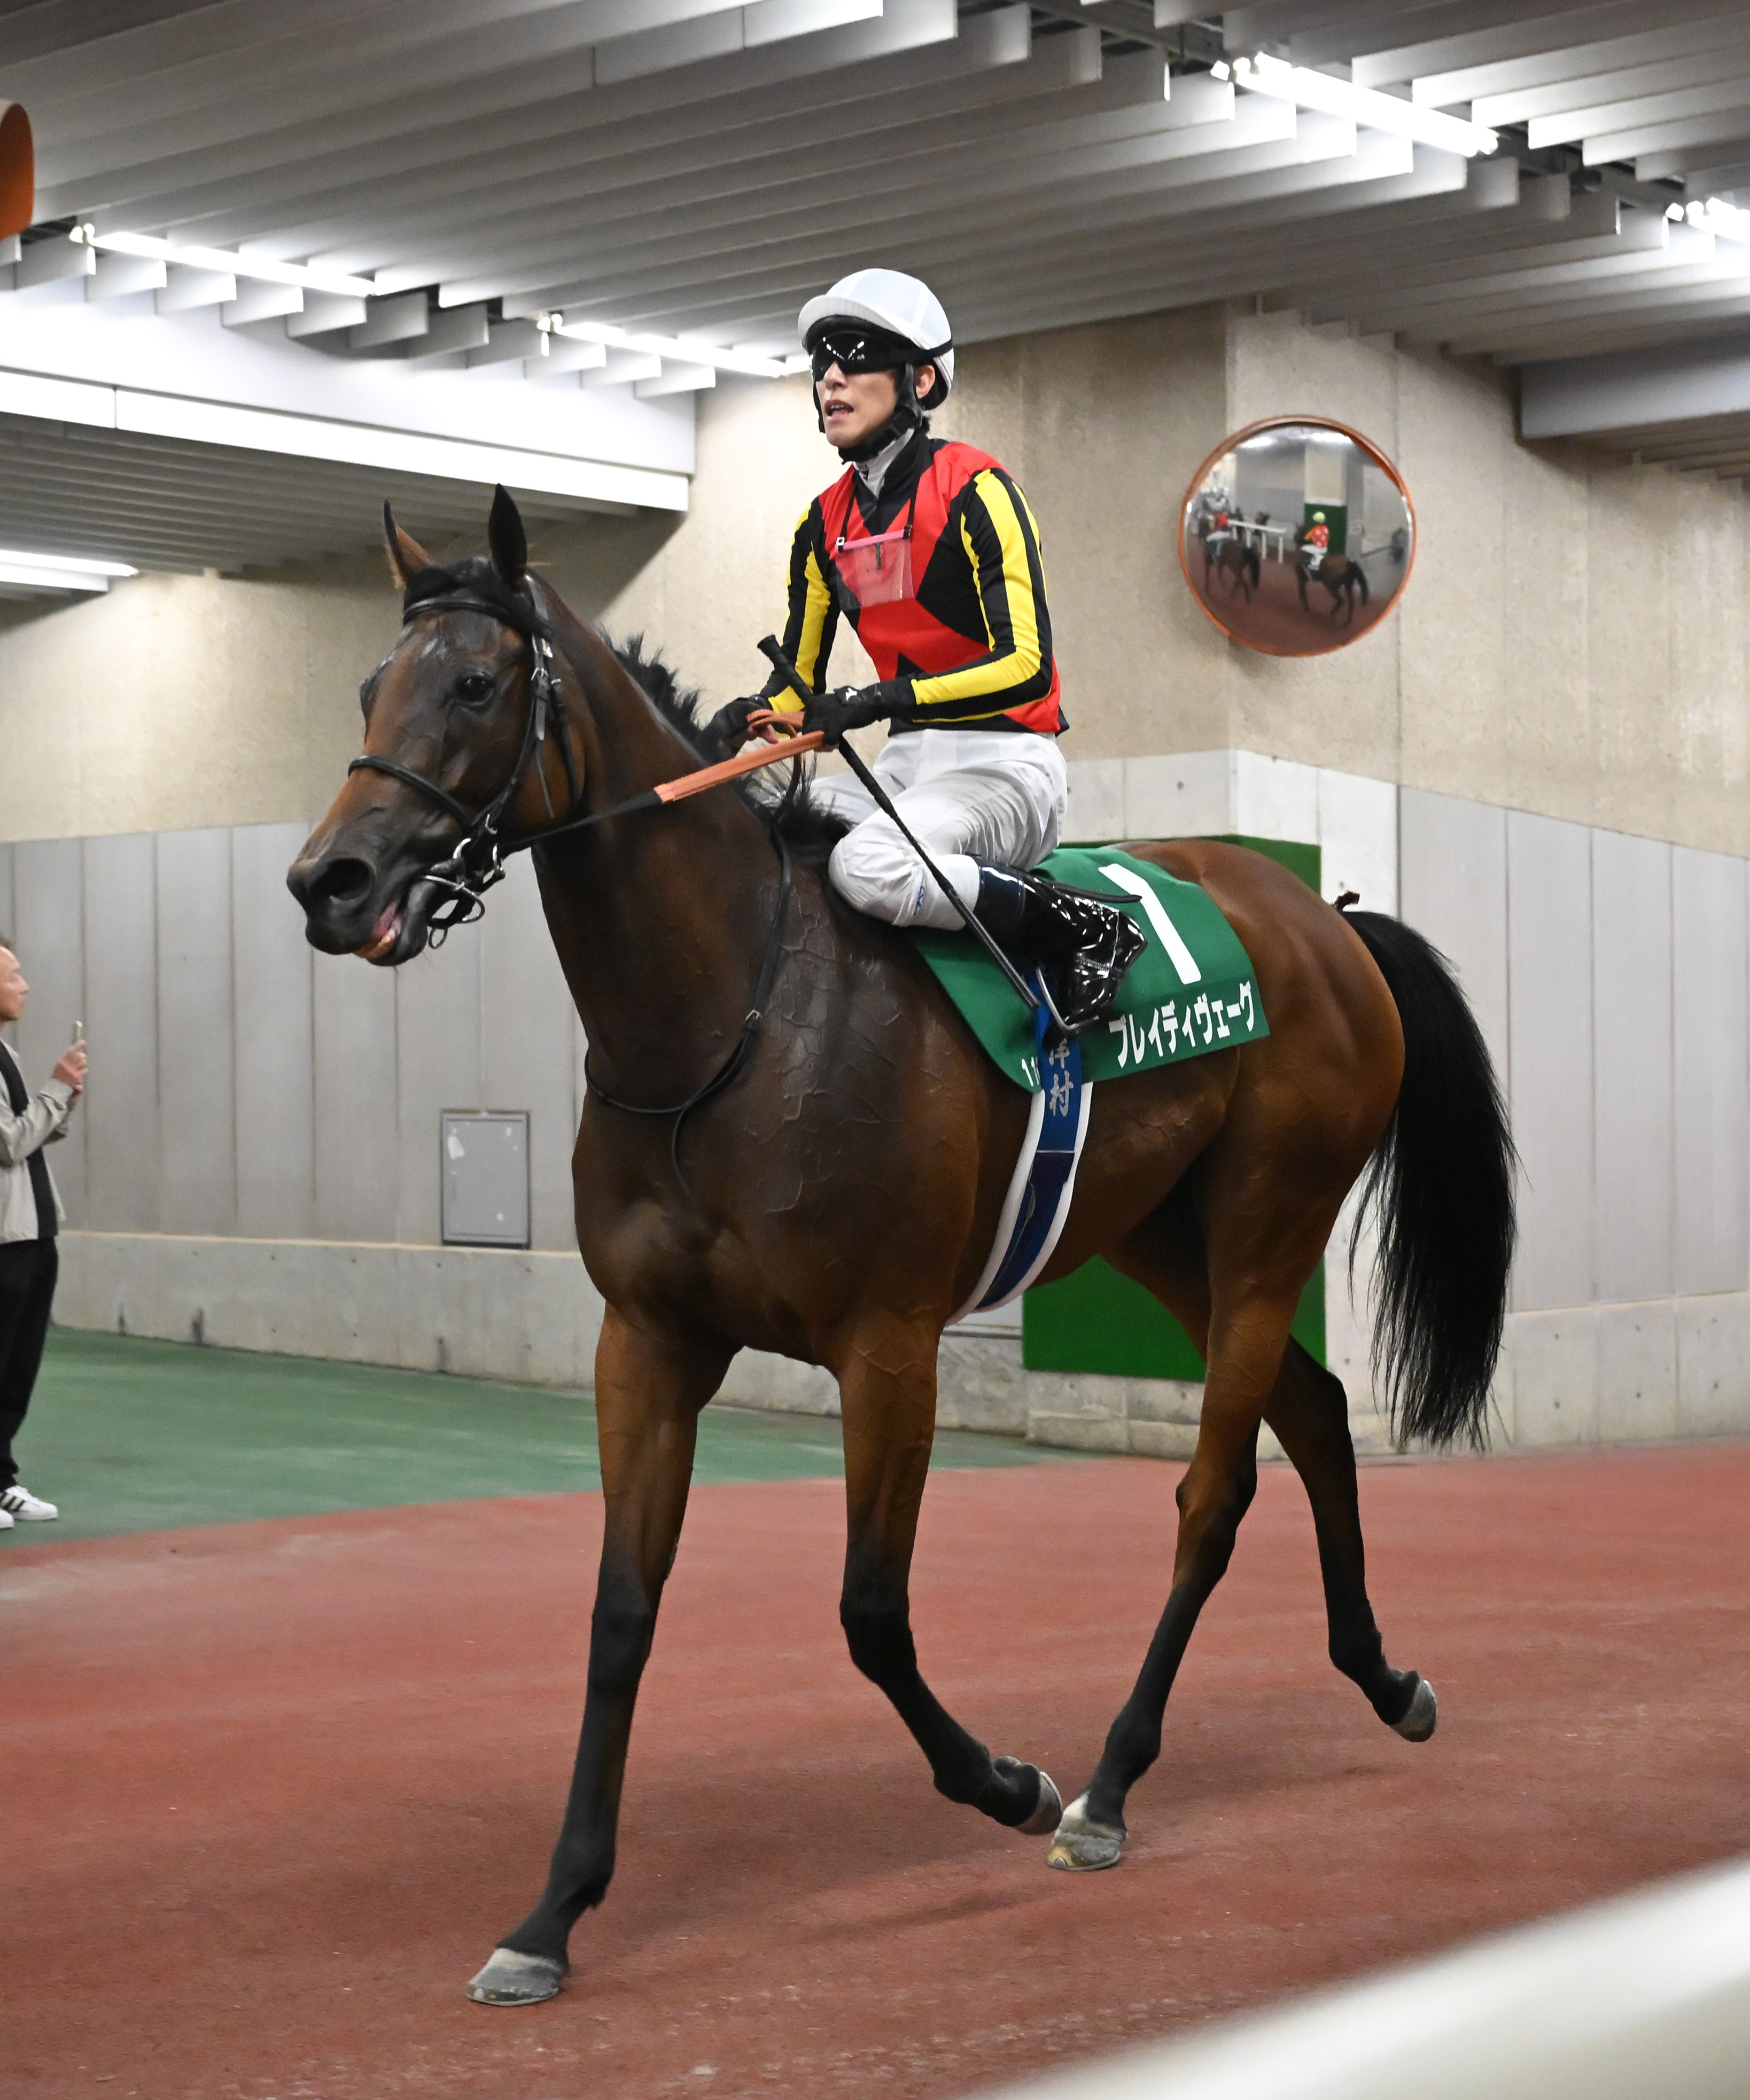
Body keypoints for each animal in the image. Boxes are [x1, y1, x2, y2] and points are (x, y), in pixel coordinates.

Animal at [287, 489, 1515, 2010]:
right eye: (365, 686)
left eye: (472, 683)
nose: (329, 881)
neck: (732, 1017)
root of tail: (1324, 919)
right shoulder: (648, 1339)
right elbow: (620, 1611)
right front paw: (553, 1909)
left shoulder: (886, 1345)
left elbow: (870, 1608)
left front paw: (1006, 1780)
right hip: (1157, 1236)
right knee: (1320, 1409)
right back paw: (1381, 1678)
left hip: (1263, 1222)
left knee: (1214, 1493)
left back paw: (1108, 1782)